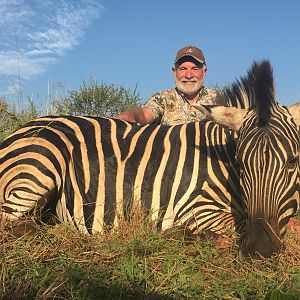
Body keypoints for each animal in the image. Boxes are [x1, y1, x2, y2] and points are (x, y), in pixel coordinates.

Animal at [0, 61, 298, 258]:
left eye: (292, 162)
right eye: (240, 163)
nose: (261, 248)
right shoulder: (194, 206)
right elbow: (243, 225)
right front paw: (184, 235)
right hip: (41, 165)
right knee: (8, 220)